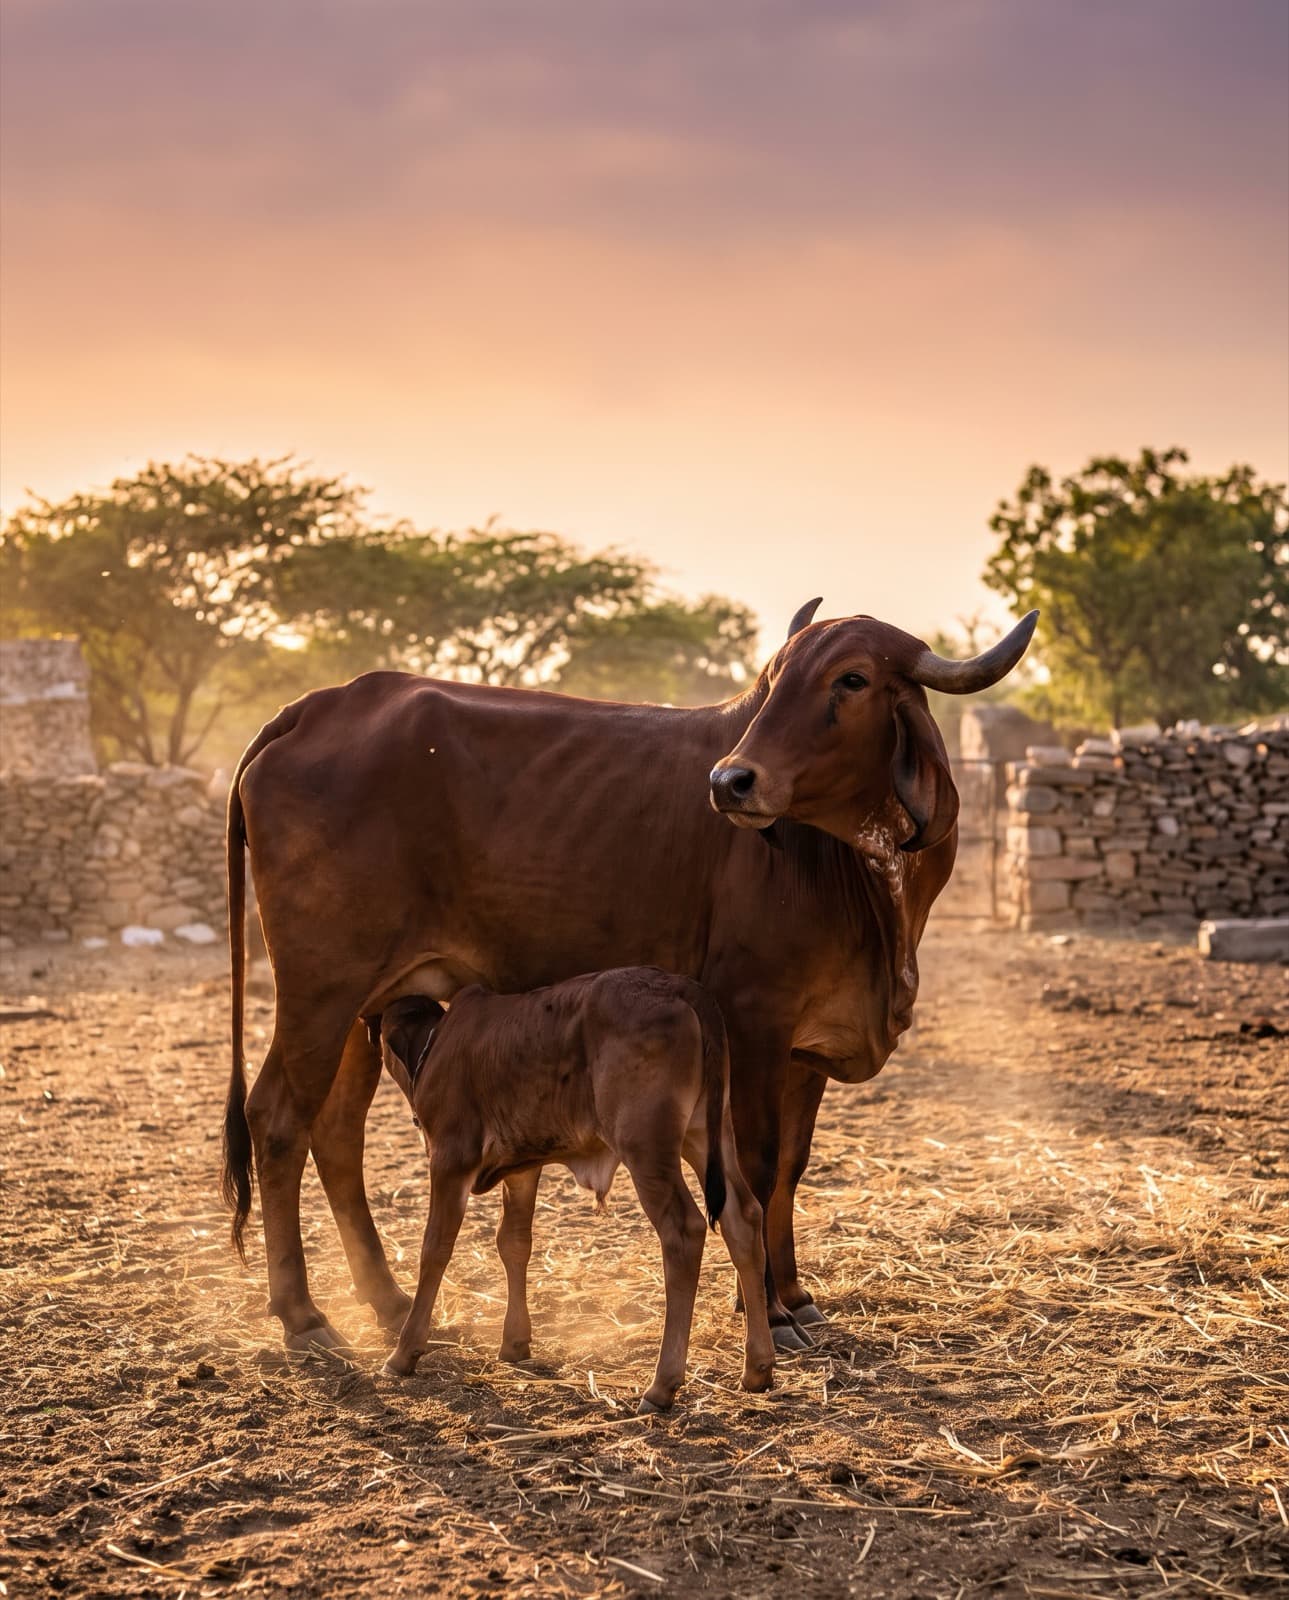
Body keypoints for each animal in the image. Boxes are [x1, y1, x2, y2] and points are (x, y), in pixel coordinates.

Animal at [221, 601, 1037, 1356]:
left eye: (852, 679)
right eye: (773, 681)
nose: (731, 781)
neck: (863, 877)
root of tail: (321, 703)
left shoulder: (807, 1047)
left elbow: (792, 1168)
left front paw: (796, 1297)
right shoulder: (754, 1021)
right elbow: (757, 1165)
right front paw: (768, 1311)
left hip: (371, 999)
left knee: (336, 1132)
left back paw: (386, 1301)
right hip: (320, 987)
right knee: (279, 1120)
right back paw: (303, 1314)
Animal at [372, 970, 776, 1412]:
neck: (439, 1041)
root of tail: (682, 987)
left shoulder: (450, 1160)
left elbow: (434, 1250)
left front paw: (404, 1351)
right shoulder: (522, 1169)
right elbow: (513, 1242)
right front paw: (515, 1341)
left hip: (646, 1146)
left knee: (683, 1230)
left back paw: (662, 1384)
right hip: (706, 1132)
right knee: (743, 1217)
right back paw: (757, 1367)